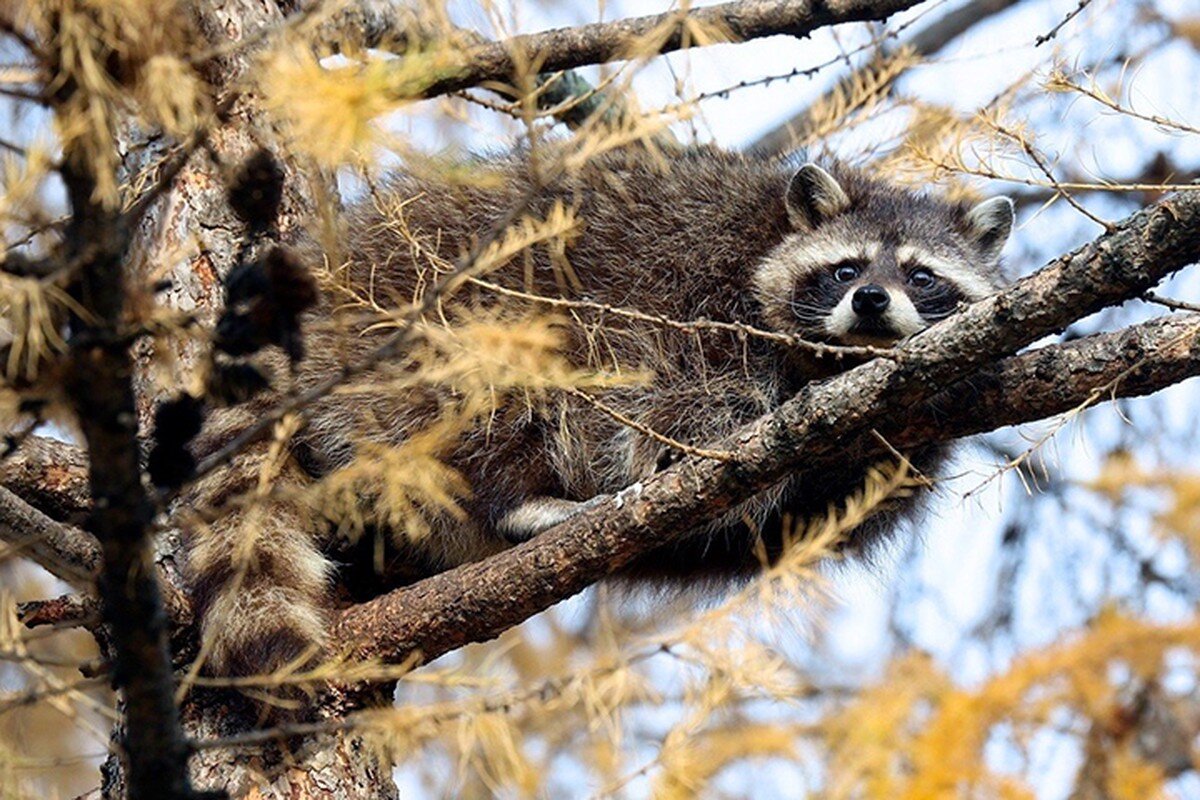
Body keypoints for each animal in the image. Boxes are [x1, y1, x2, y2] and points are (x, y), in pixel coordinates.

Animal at [180, 145, 1012, 714]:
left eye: (922, 276)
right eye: (845, 269)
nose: (871, 301)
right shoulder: (700, 315)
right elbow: (686, 419)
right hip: (428, 320)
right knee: (488, 405)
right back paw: (516, 495)